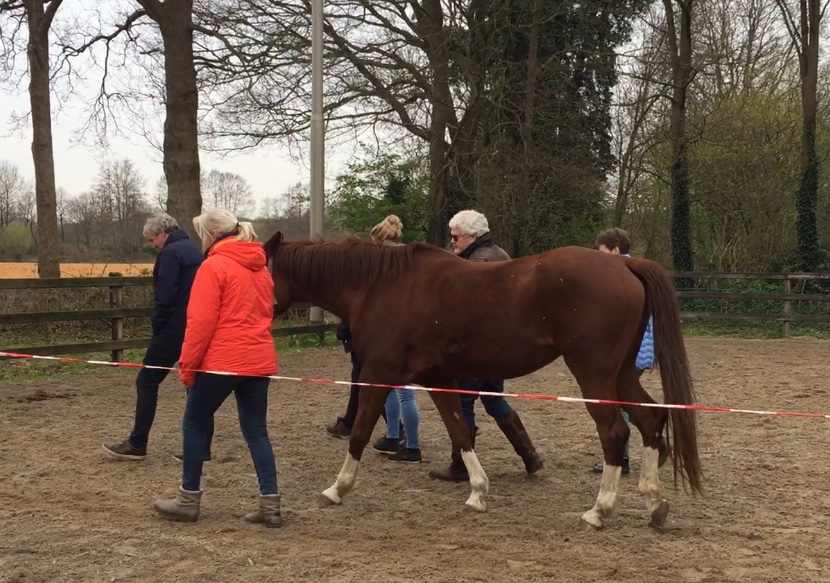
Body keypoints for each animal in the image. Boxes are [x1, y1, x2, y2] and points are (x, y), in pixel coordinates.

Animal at [264, 232, 704, 528]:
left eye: (258, 265)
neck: (379, 286)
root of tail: (624, 264)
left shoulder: (377, 373)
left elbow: (359, 431)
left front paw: (337, 489)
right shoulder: (438, 377)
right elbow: (460, 430)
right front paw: (477, 491)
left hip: (594, 374)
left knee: (615, 432)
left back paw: (599, 510)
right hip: (622, 374)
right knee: (650, 420)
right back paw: (654, 503)